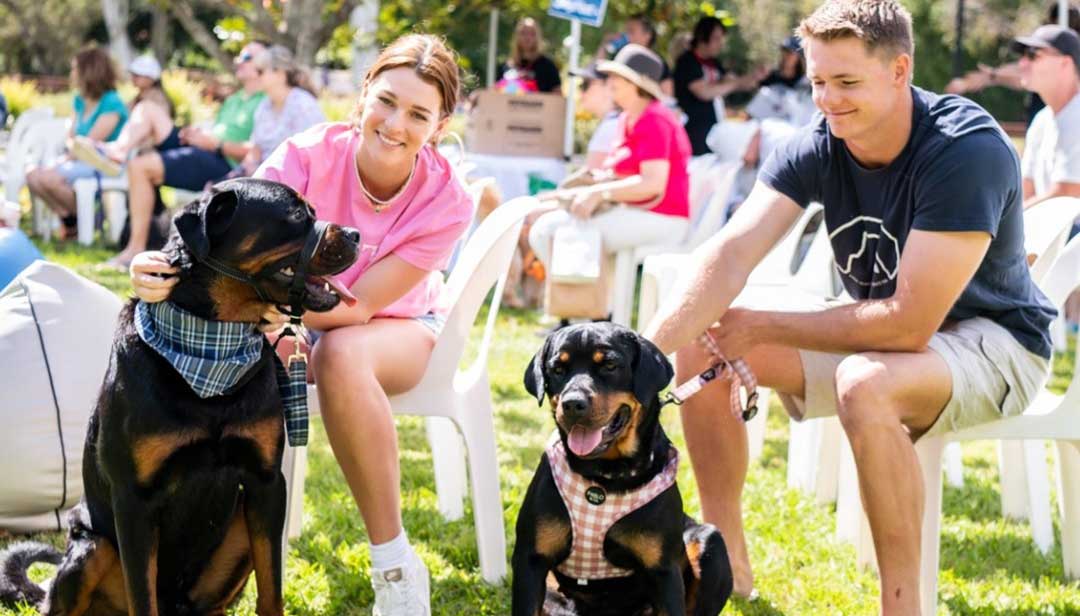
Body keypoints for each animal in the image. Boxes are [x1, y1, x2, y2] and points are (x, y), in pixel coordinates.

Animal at [0, 176, 362, 609]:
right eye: (295, 214)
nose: (357, 235)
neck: (212, 348)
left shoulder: (267, 485)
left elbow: (271, 590)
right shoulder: (133, 501)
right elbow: (143, 599)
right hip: (91, 549)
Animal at [514, 322, 734, 613]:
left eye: (609, 365)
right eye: (558, 369)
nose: (572, 403)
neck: (604, 476)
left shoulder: (663, 571)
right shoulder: (531, 559)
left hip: (710, 542)